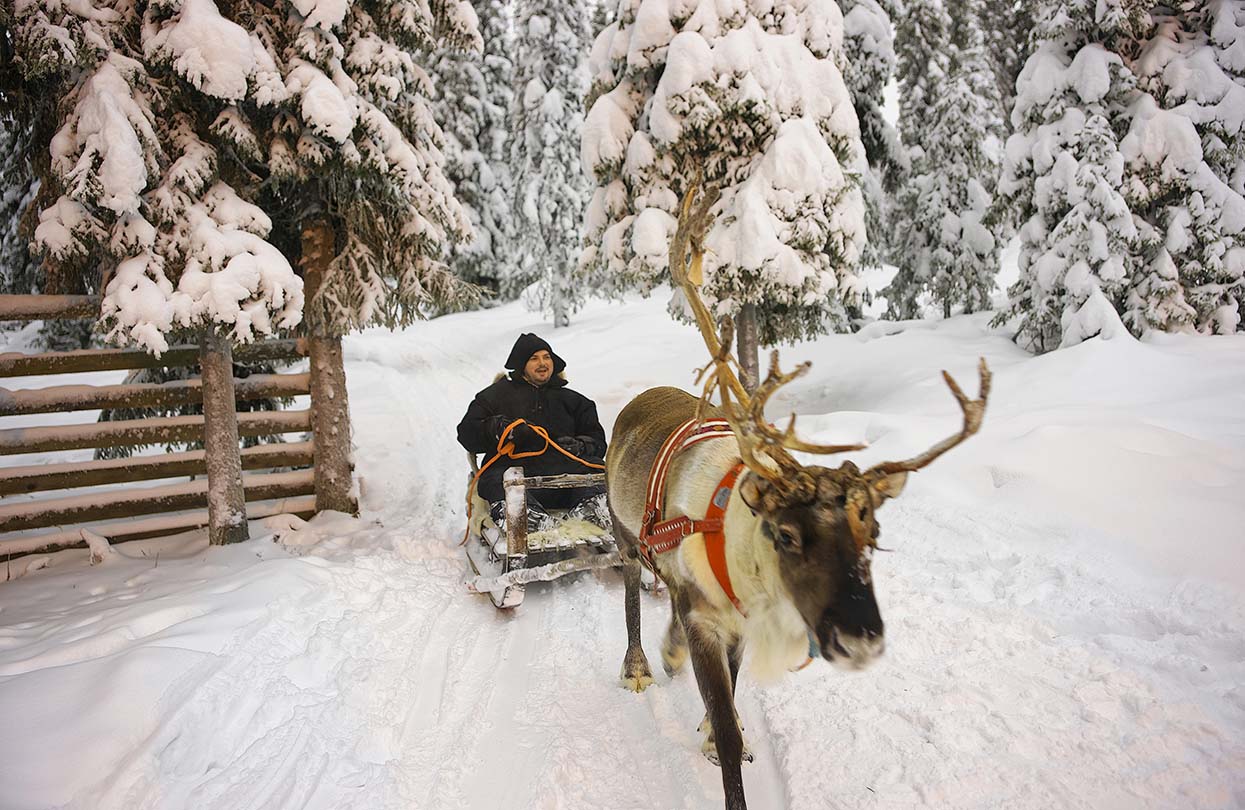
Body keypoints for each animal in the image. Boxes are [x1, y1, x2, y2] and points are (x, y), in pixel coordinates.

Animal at [603, 182, 991, 810]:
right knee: (634, 596)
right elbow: (730, 732)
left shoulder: (732, 624)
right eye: (786, 533)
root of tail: (640, 397)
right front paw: (718, 739)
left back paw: (667, 652)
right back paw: (638, 664)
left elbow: (729, 703)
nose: (860, 641)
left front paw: (706, 723)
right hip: (622, 536)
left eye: (873, 534)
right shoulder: (708, 618)